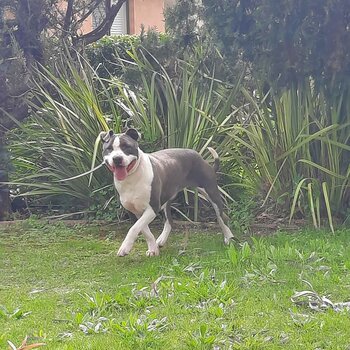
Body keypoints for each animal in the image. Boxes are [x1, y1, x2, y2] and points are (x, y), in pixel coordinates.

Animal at [100, 129, 234, 258]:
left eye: (126, 146)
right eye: (109, 148)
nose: (117, 158)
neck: (132, 178)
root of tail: (200, 157)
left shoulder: (153, 208)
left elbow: (134, 228)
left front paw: (125, 248)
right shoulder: (133, 211)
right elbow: (144, 230)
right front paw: (153, 249)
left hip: (211, 192)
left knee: (222, 217)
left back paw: (228, 238)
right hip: (167, 198)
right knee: (169, 221)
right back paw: (161, 240)